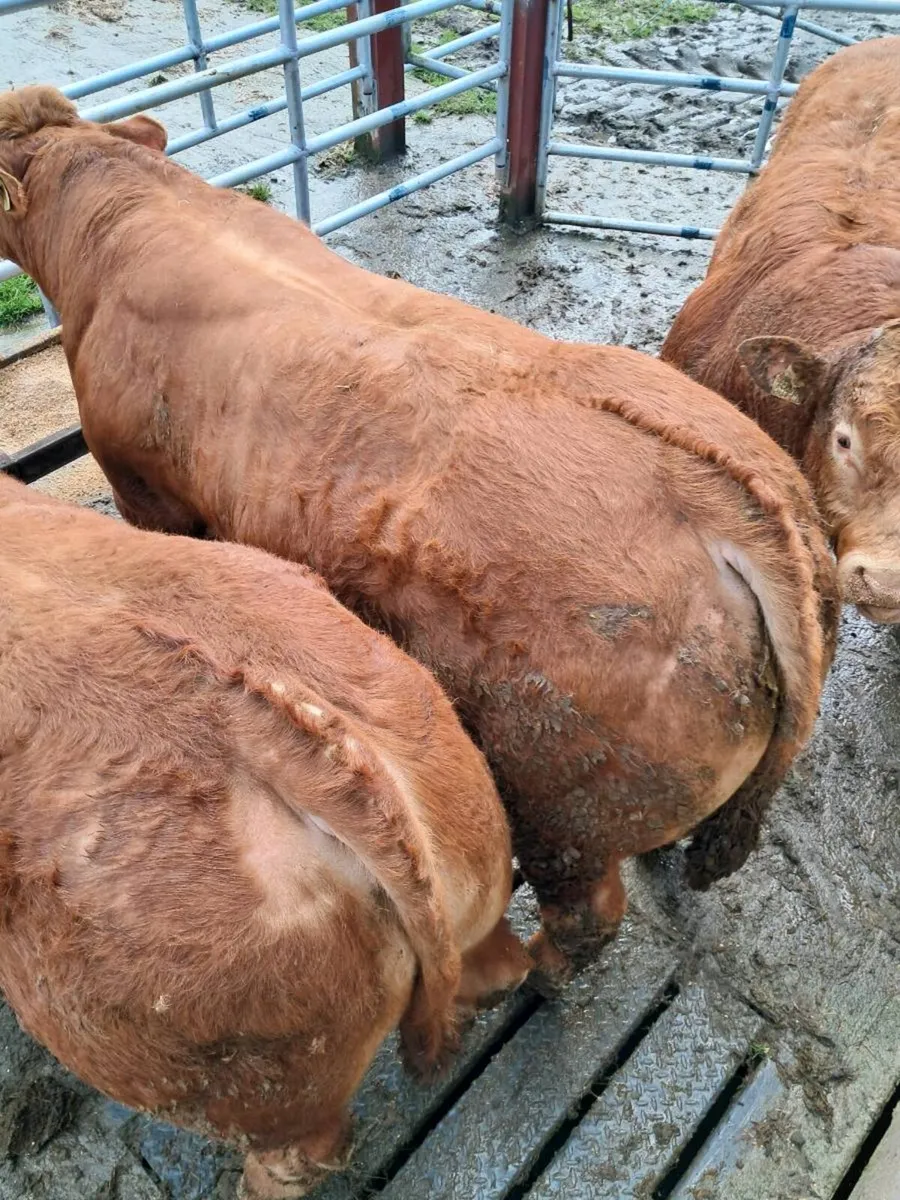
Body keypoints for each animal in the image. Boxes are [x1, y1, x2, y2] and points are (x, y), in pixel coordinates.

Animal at [0, 85, 839, 983]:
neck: (124, 205)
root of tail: (729, 495)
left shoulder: (139, 484)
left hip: (561, 800)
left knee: (585, 915)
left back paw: (538, 970)